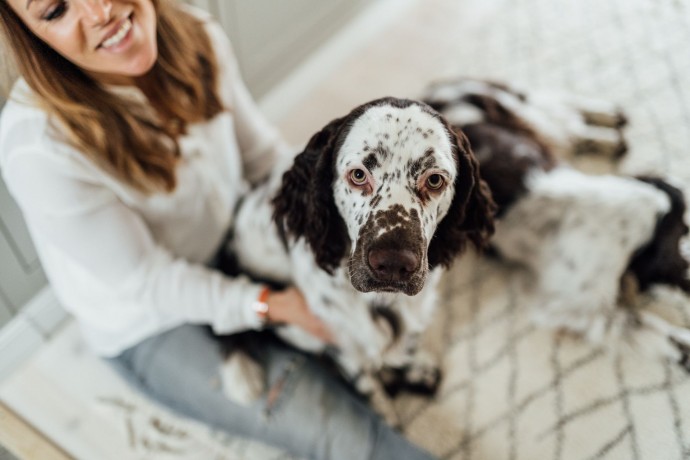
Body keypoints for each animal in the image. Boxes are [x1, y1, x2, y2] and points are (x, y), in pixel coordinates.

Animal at [222, 96, 494, 416]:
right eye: (358, 175)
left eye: (435, 180)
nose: (393, 264)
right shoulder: (337, 336)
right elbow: (366, 382)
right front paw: (388, 414)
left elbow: (408, 344)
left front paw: (415, 369)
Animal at [422, 78, 688, 370]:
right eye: (682, 232)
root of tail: (433, 97)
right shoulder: (580, 309)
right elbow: (645, 327)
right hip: (523, 113)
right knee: (564, 118)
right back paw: (611, 133)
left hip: (518, 111)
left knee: (559, 111)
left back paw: (610, 121)